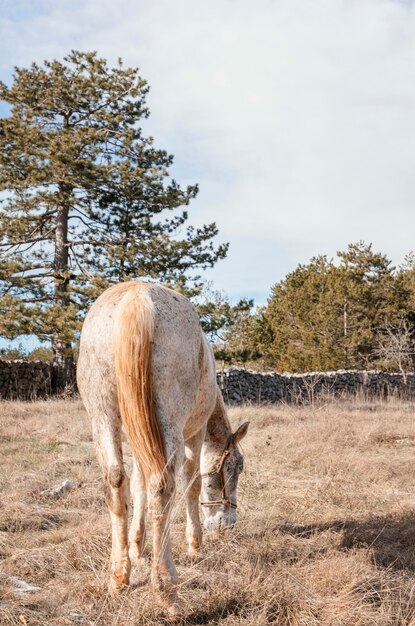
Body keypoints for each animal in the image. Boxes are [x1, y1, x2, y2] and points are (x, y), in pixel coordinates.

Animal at [76, 280, 249, 612]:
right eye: (234, 469)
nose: (228, 523)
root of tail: (136, 297)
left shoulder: (139, 440)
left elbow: (137, 486)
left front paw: (136, 546)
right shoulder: (193, 435)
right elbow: (191, 484)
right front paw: (195, 543)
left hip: (103, 418)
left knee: (116, 481)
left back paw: (119, 577)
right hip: (170, 424)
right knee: (163, 486)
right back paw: (166, 587)